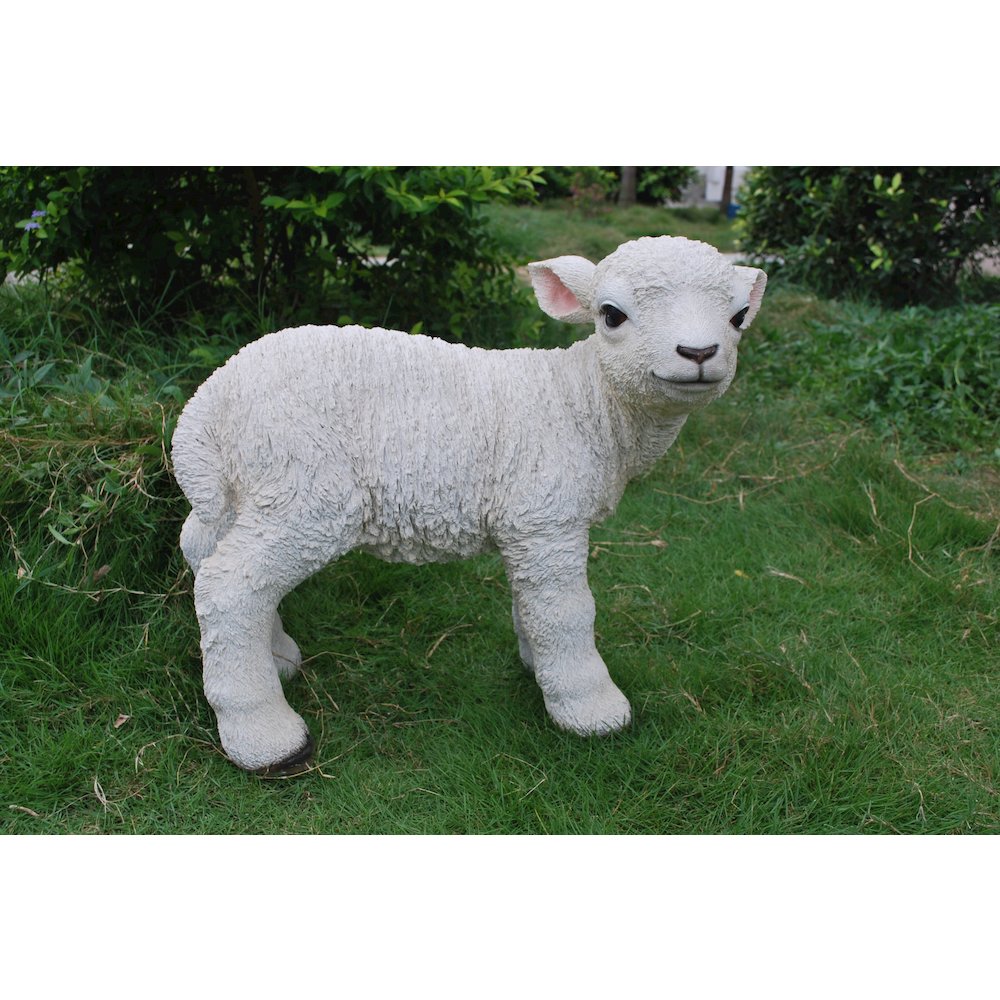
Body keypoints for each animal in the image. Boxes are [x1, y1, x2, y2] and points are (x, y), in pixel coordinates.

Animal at [172, 236, 767, 773]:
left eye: (739, 316)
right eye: (611, 315)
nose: (698, 354)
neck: (586, 401)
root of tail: (207, 406)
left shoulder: (526, 524)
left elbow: (532, 606)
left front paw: (537, 665)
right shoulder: (547, 517)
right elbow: (568, 612)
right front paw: (590, 708)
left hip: (244, 489)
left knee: (202, 549)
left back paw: (275, 656)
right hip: (303, 486)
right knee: (229, 586)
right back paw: (265, 737)